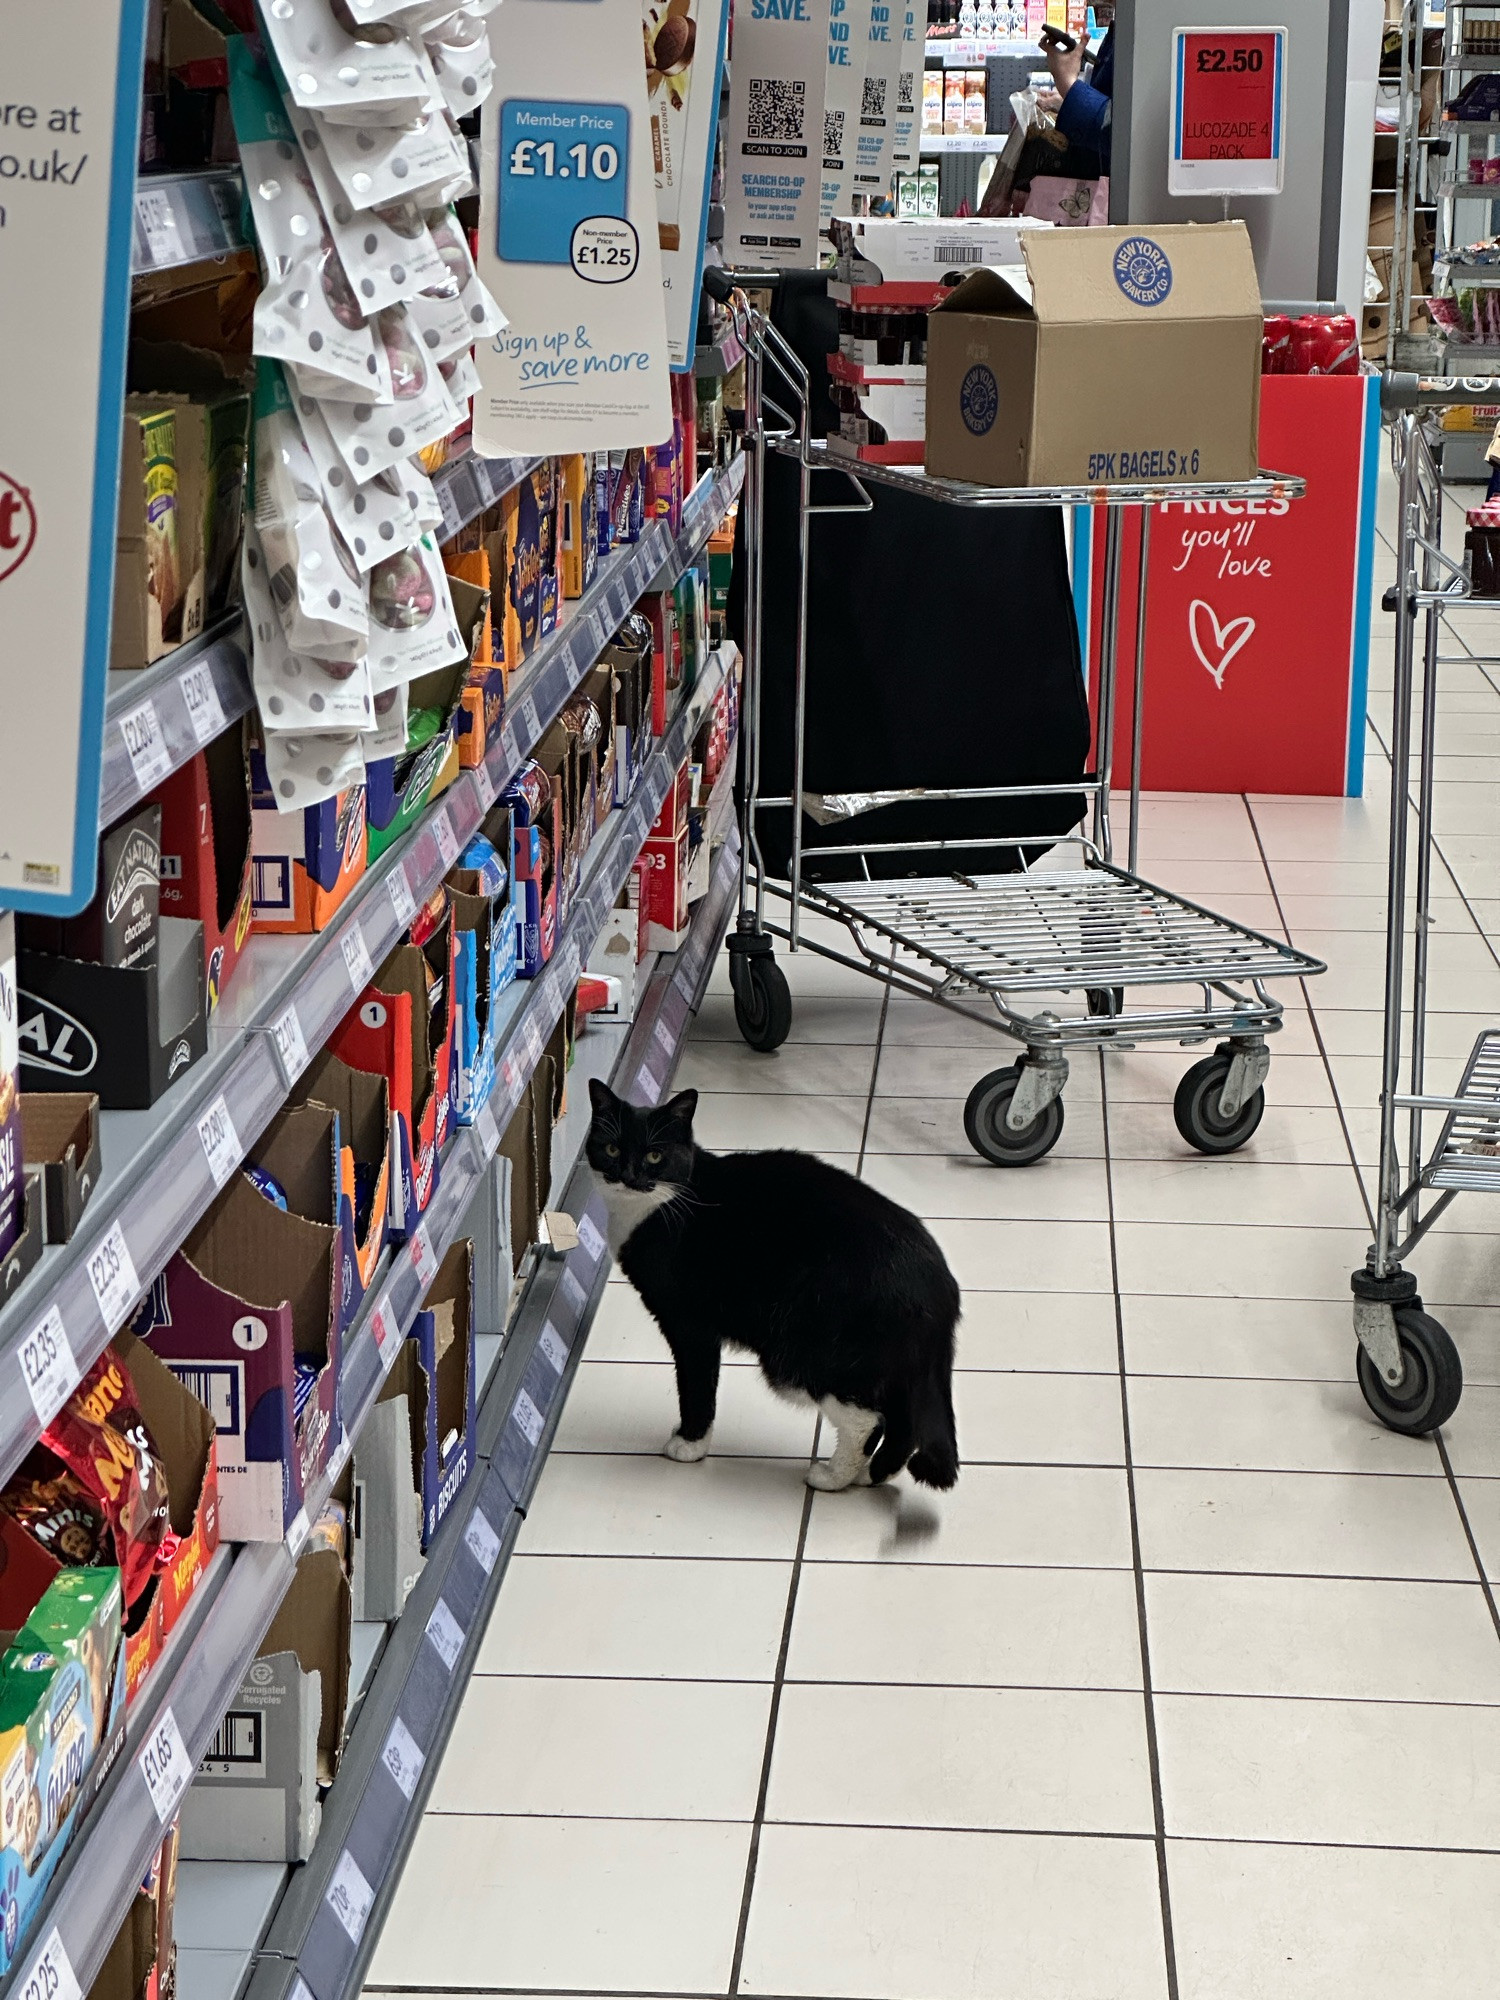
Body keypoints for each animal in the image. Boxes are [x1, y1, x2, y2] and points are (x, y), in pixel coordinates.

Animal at [588, 1088, 964, 1496]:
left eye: (655, 1155)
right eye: (611, 1148)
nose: (628, 1176)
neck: (653, 1207)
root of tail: (940, 1284)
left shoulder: (689, 1325)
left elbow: (696, 1386)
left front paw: (689, 1444)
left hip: (804, 1353)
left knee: (868, 1420)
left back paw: (831, 1478)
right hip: (887, 1359)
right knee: (903, 1420)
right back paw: (873, 1474)